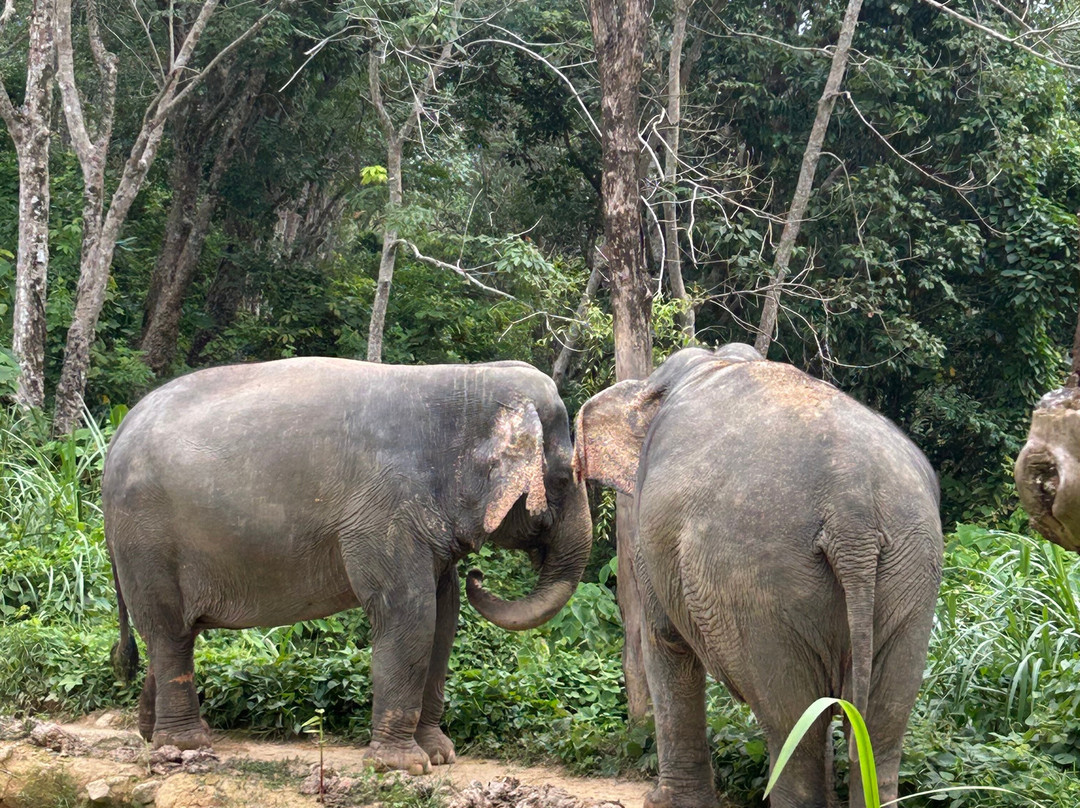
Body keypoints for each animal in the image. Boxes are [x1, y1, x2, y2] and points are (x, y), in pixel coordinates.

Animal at [102, 357, 592, 774]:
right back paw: (187, 745)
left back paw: (155, 737)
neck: (469, 379)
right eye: (563, 477)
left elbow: (445, 616)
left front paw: (440, 756)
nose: (480, 576)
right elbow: (410, 614)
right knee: (169, 631)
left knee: (170, 635)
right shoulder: (385, 511)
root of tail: (119, 433)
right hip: (146, 538)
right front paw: (404, 767)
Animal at [573, 345, 942, 808]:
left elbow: (664, 641)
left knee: (792, 726)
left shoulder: (648, 531)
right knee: (879, 731)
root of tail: (851, 503)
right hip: (910, 571)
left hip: (758, 585)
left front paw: (661, 803)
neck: (711, 361)